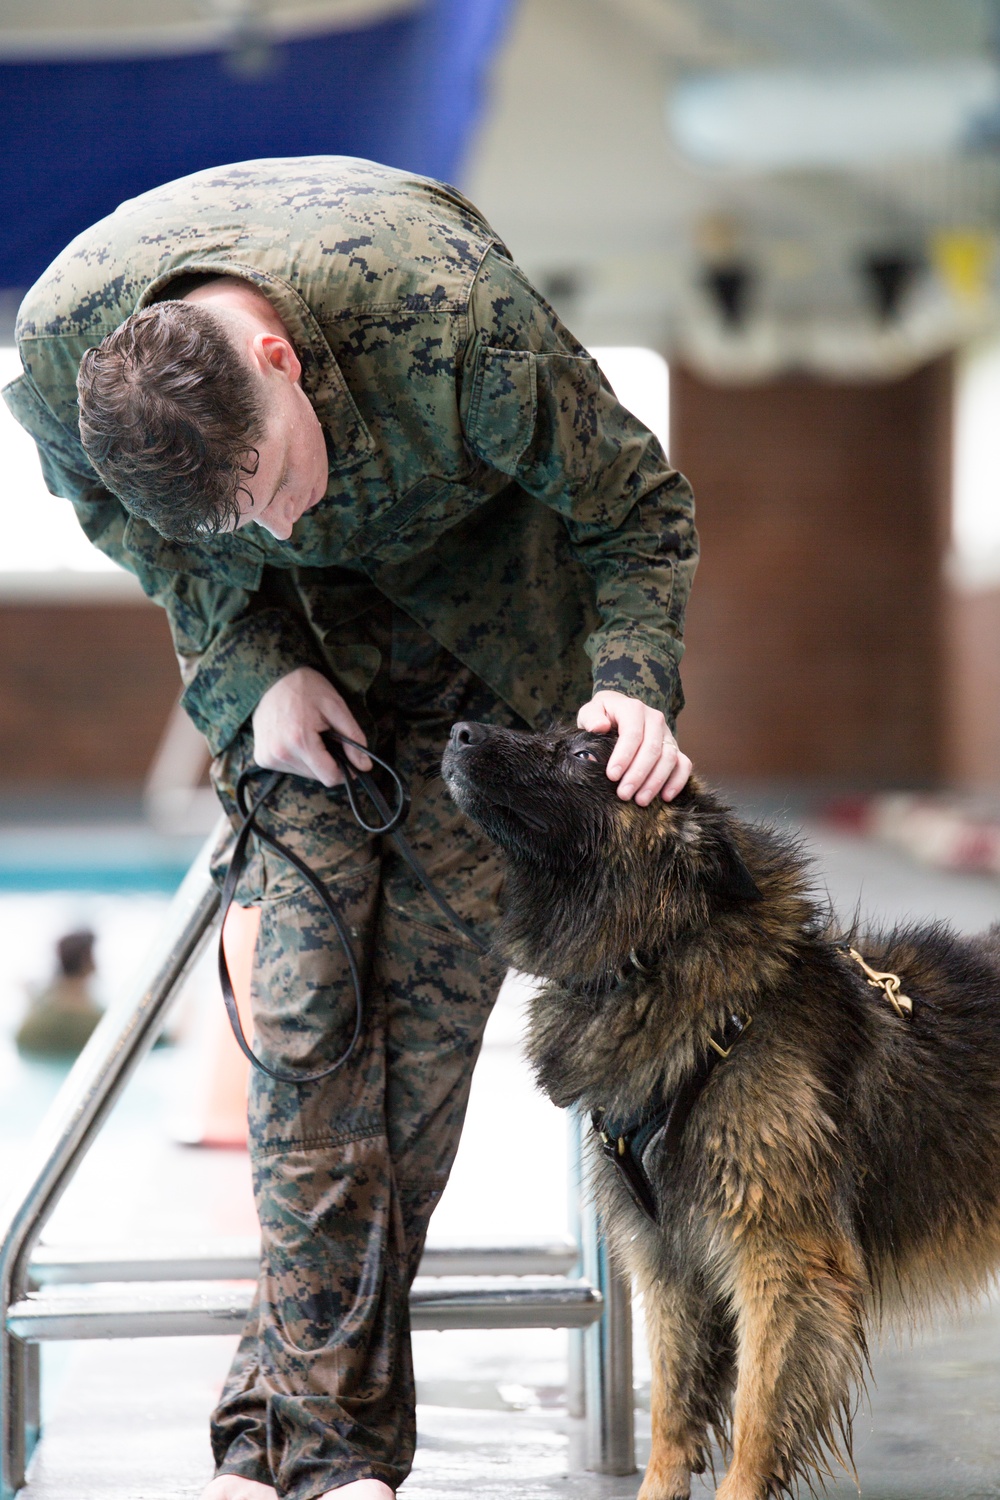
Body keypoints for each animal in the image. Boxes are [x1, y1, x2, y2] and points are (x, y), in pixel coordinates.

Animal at [443, 720, 1000, 1500]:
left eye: (584, 755)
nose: (459, 730)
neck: (661, 960)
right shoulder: (670, 1264)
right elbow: (672, 1415)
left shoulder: (783, 1265)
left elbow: (758, 1415)